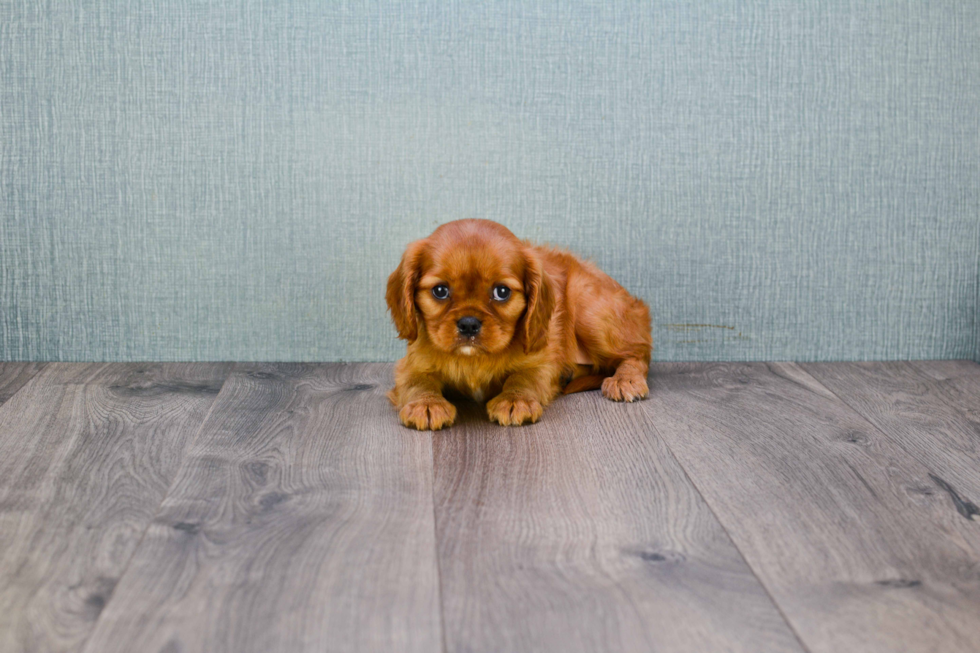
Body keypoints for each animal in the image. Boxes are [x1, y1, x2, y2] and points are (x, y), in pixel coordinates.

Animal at [384, 222, 652, 430]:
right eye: (440, 291)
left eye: (501, 292)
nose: (469, 324)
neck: (474, 360)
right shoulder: (412, 365)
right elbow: (418, 381)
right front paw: (426, 403)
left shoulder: (541, 363)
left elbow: (522, 378)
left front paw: (514, 401)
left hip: (588, 310)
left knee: (638, 353)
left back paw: (626, 380)